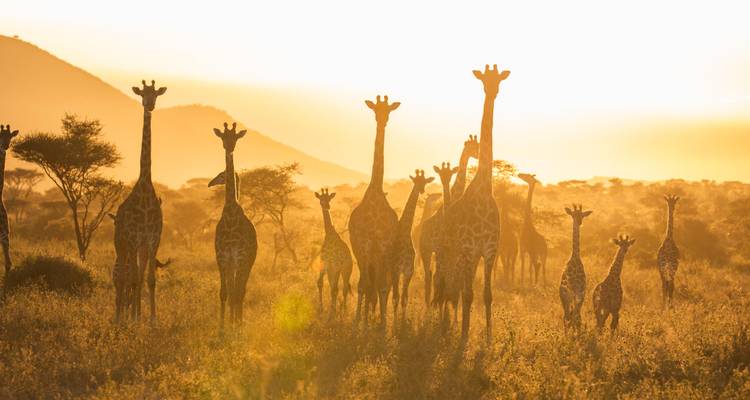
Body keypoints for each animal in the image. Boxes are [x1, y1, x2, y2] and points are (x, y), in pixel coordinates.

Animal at [388, 169, 434, 317]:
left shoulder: (408, 271)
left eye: (424, 181)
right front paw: (395, 320)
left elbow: (404, 299)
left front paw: (402, 320)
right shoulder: (396, 270)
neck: (404, 233)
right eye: (416, 181)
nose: (421, 190)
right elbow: (396, 298)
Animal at [418, 135, 478, 306]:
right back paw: (428, 304)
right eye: (473, 147)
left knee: (433, 275)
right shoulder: (441, 249)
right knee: (428, 277)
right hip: (425, 250)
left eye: (477, 146)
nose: (478, 155)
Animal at [435, 64, 510, 340]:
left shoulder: (489, 250)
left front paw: (488, 338)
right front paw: (464, 337)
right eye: (483, 81)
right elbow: (467, 295)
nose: (493, 91)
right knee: (446, 288)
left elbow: (487, 295)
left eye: (499, 80)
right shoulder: (468, 249)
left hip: (467, 258)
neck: (483, 190)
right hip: (449, 253)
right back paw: (445, 324)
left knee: (455, 290)